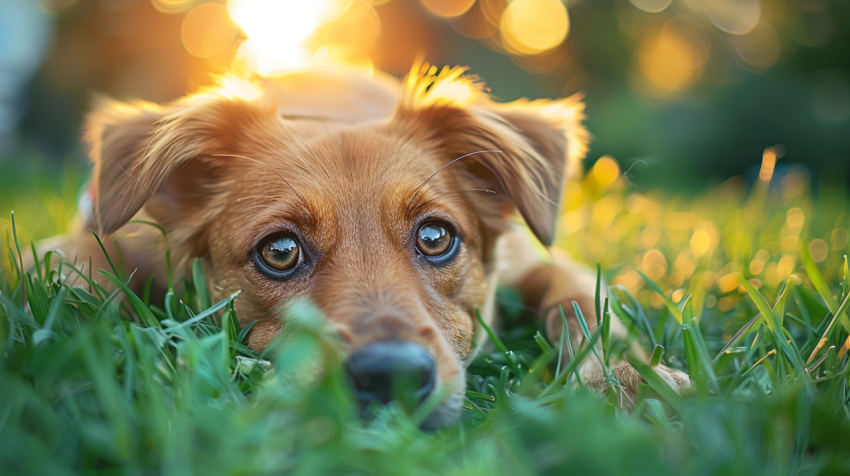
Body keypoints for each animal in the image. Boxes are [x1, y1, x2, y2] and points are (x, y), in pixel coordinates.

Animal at [28, 64, 688, 428]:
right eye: (280, 251)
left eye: (435, 237)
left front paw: (628, 381)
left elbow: (589, 306)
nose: (391, 377)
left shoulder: (543, 264)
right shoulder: (87, 240)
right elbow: (74, 274)